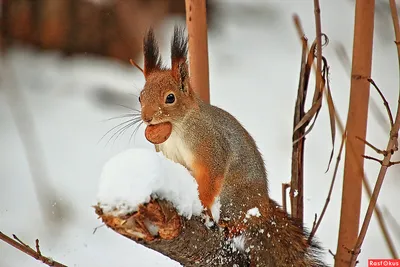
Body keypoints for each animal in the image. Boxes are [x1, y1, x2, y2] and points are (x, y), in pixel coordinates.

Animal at [139, 27, 326, 267]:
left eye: (170, 98)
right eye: (140, 96)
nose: (147, 118)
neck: (177, 128)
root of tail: (262, 207)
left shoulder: (211, 147)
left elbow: (210, 178)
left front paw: (202, 207)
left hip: (233, 196)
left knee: (242, 221)